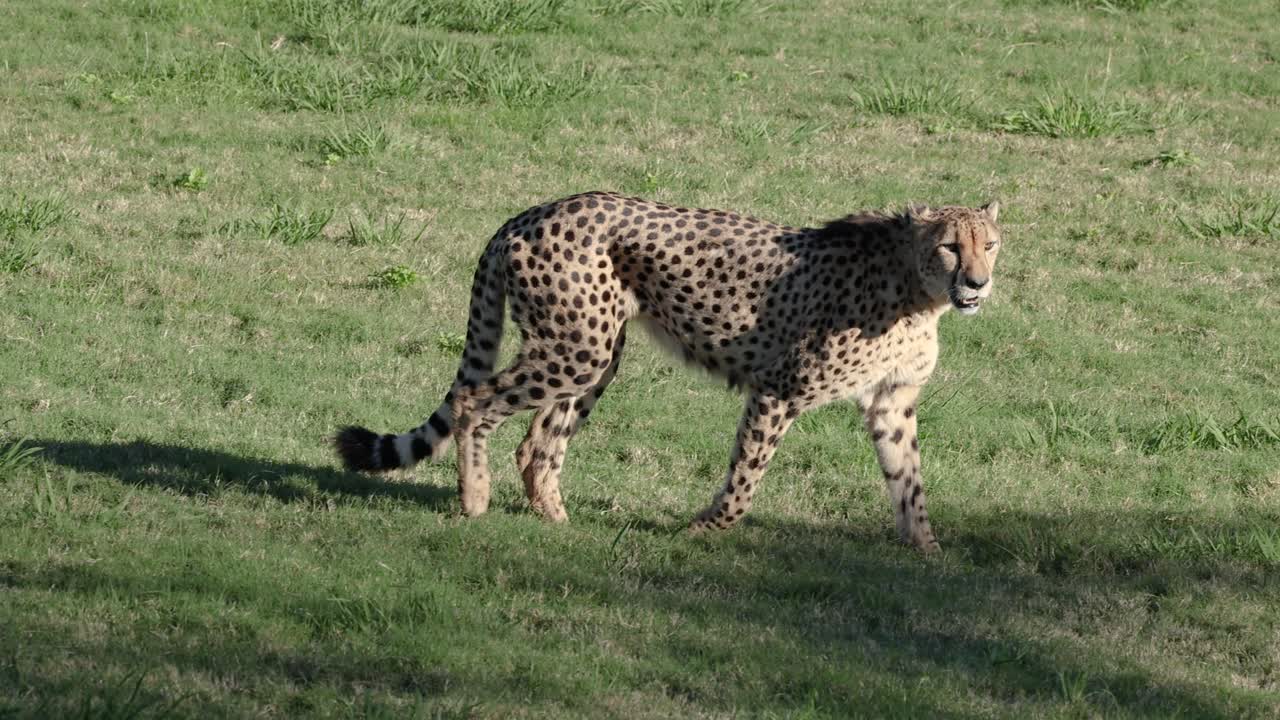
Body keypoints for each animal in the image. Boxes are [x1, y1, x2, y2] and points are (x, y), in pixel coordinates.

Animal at [335, 191, 1003, 552]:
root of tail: (534, 211)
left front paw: (928, 550)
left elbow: (909, 482)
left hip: (595, 353)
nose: (978, 282)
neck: (917, 289)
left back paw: (556, 519)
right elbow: (745, 477)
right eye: (950, 245)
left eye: (990, 243)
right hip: (578, 347)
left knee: (537, 442)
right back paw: (475, 499)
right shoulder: (778, 389)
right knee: (475, 401)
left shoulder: (892, 402)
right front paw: (705, 529)